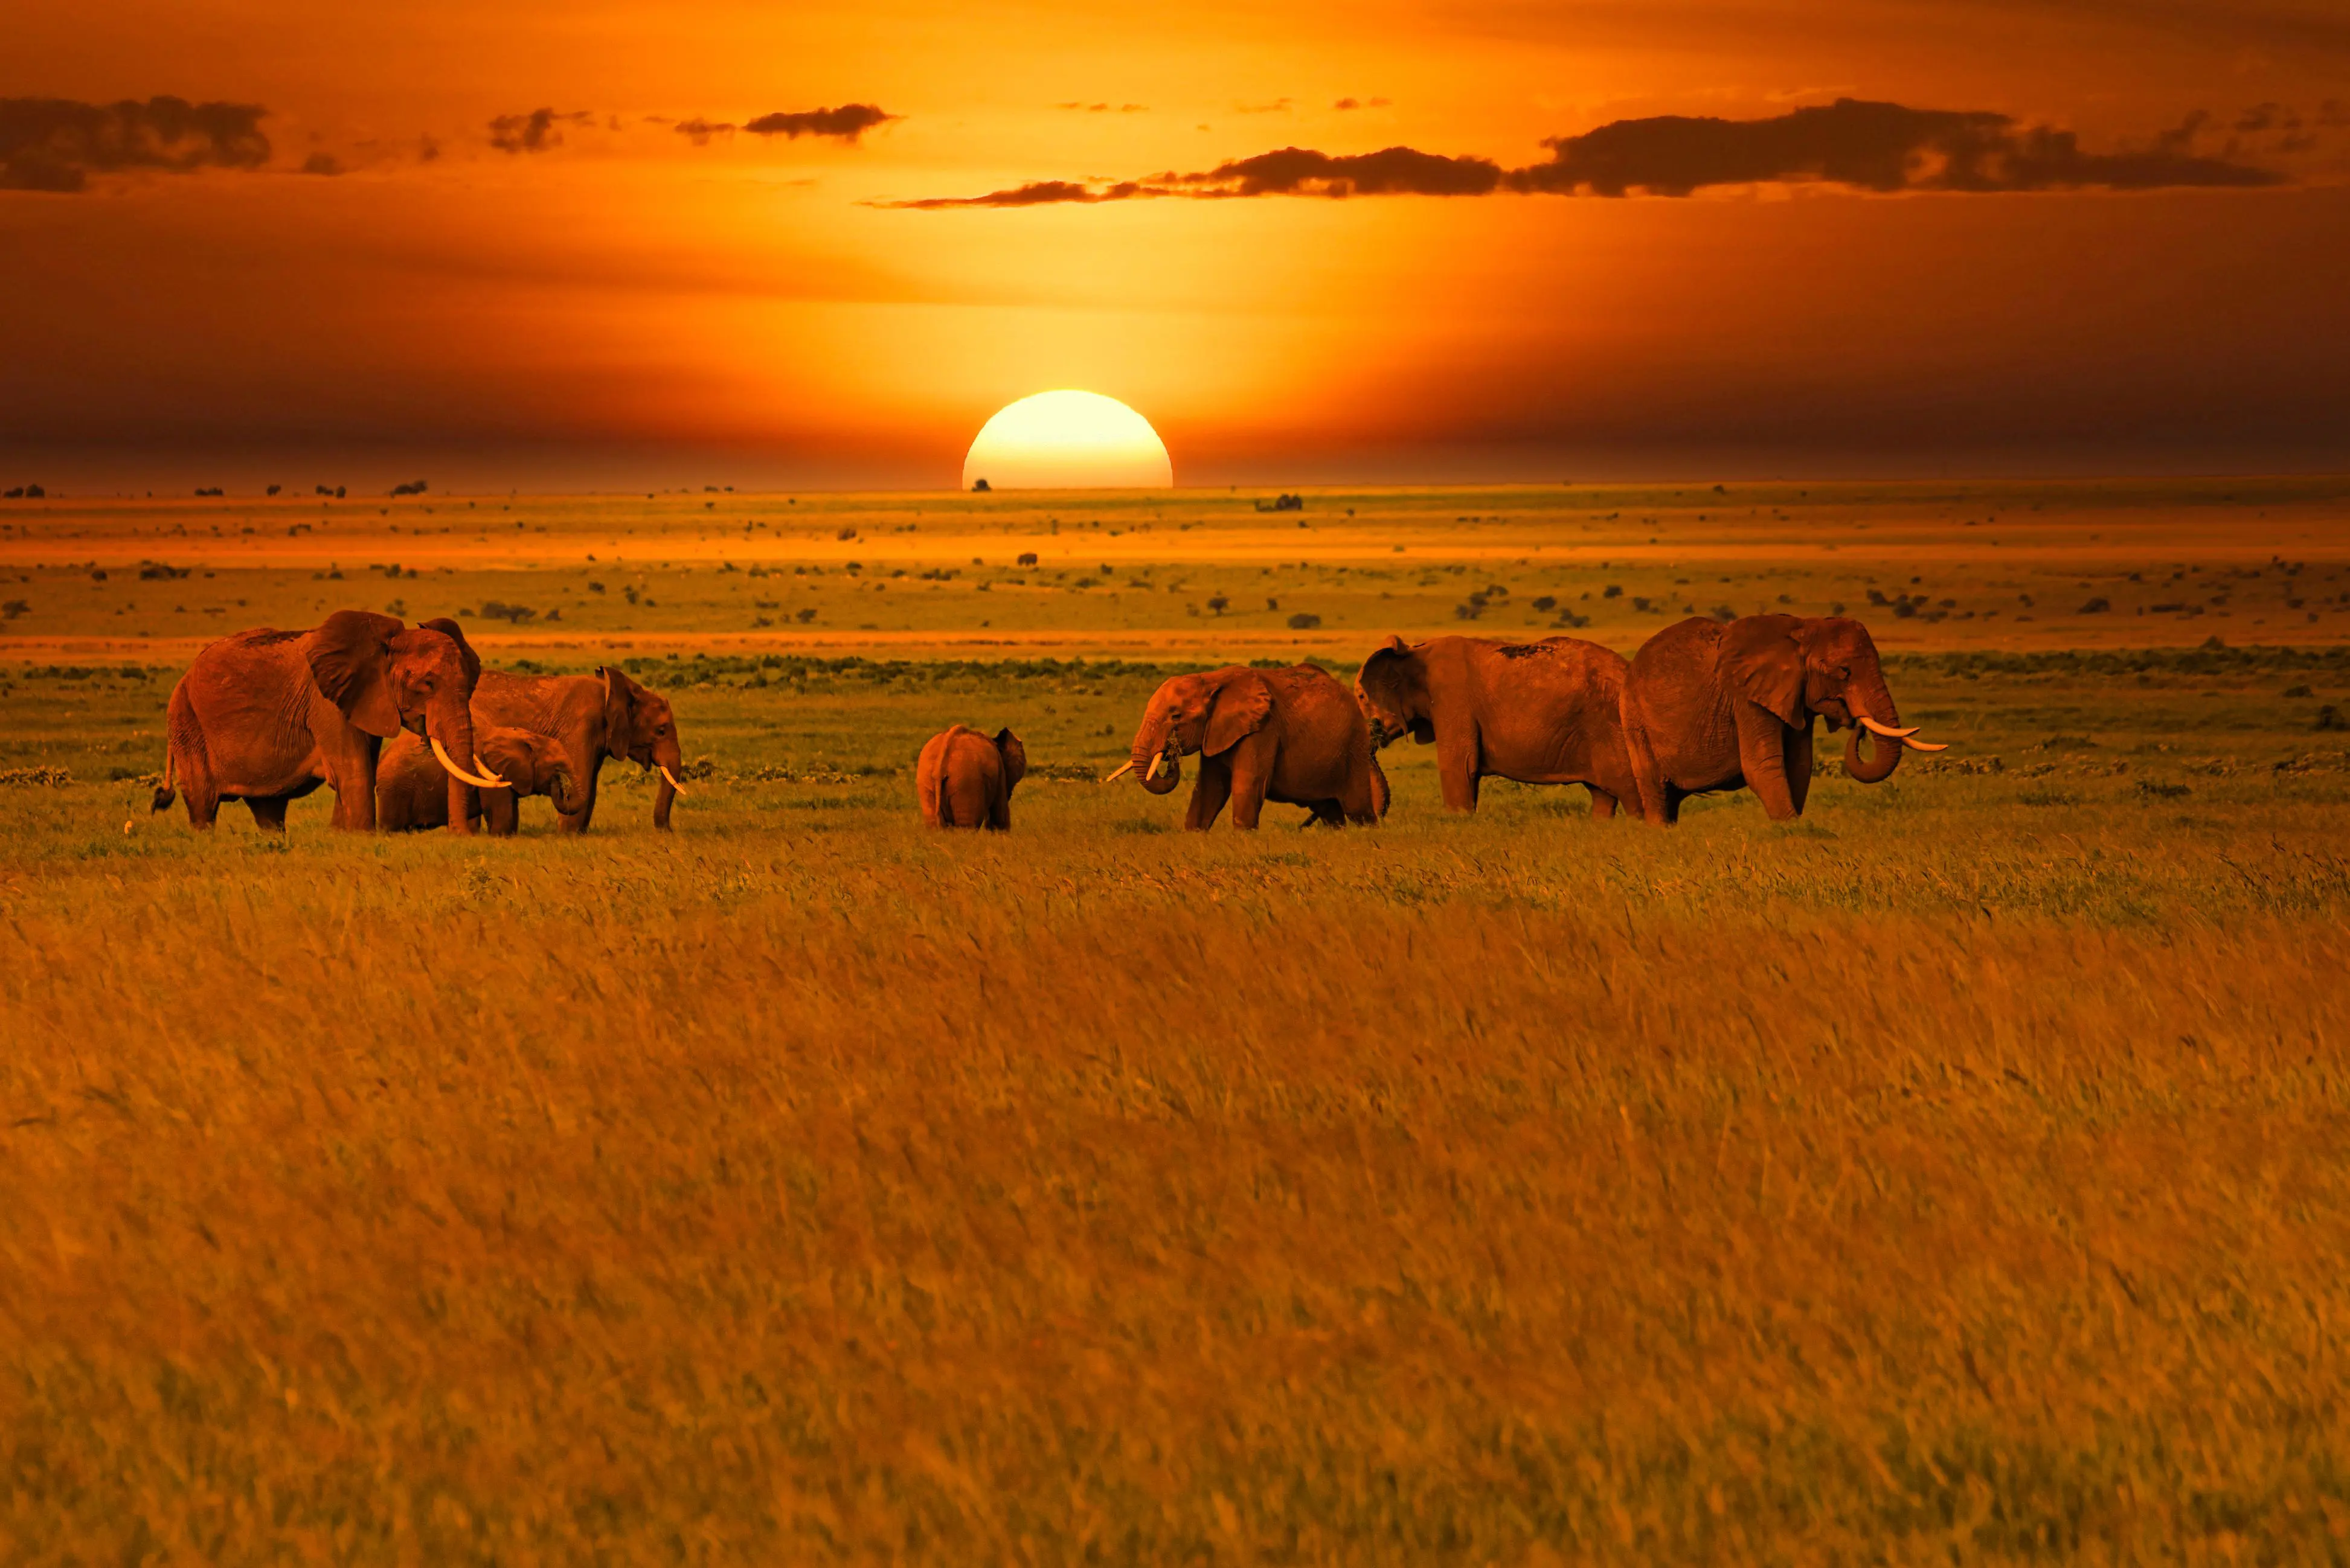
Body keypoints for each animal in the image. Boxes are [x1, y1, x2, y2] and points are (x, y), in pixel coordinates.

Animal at [152, 610, 504, 833]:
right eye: (427, 685)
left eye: (470, 684)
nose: (460, 835)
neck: (383, 644)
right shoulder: (326, 702)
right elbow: (354, 771)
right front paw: (360, 836)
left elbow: (361, 767)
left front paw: (339, 835)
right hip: (186, 720)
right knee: (203, 802)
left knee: (268, 809)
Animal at [468, 664, 687, 832]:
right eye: (661, 731)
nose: (668, 830)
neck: (612, 692)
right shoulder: (581, 728)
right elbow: (583, 781)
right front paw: (568, 836)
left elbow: (591, 787)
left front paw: (579, 835)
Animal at [1107, 663, 1387, 829]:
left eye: (1176, 716)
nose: (1169, 752)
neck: (1210, 680)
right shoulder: (1216, 730)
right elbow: (1210, 788)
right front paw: (1194, 834)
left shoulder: (1263, 728)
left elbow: (1248, 783)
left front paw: (1243, 836)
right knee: (1330, 811)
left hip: (1354, 746)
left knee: (1358, 810)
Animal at [1354, 633, 1637, 817]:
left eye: (1361, 697)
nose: (1377, 820)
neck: (1412, 652)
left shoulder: (1452, 697)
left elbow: (1459, 766)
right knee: (1603, 797)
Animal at [1618, 614, 1947, 824]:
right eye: (1844, 672)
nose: (1856, 724)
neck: (1802, 628)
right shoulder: (1747, 698)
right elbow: (1762, 765)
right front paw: (1791, 828)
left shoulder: (1795, 696)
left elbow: (1799, 765)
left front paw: (1795, 825)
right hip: (1633, 716)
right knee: (1655, 787)